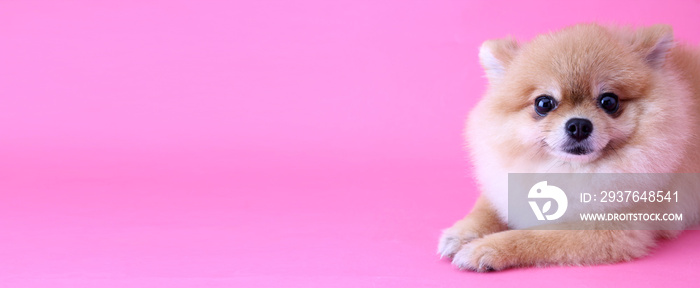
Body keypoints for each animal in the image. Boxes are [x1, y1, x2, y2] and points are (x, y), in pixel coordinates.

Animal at [438, 23, 700, 272]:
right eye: (544, 103)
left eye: (609, 101)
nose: (579, 125)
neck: (568, 170)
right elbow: (487, 207)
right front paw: (462, 234)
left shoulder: (611, 230)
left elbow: (535, 236)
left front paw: (485, 248)